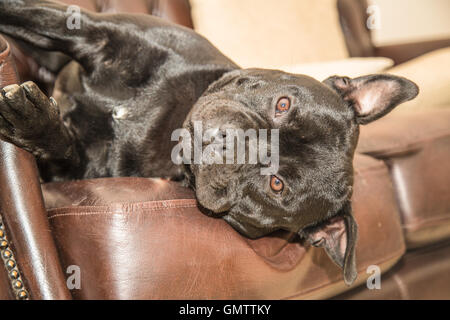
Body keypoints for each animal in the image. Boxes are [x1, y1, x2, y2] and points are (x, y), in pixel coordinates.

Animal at [0, 0, 418, 284]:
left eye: (276, 184)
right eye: (283, 104)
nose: (239, 143)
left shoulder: (83, 169)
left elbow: (64, 149)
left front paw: (33, 121)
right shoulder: (93, 30)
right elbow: (27, 14)